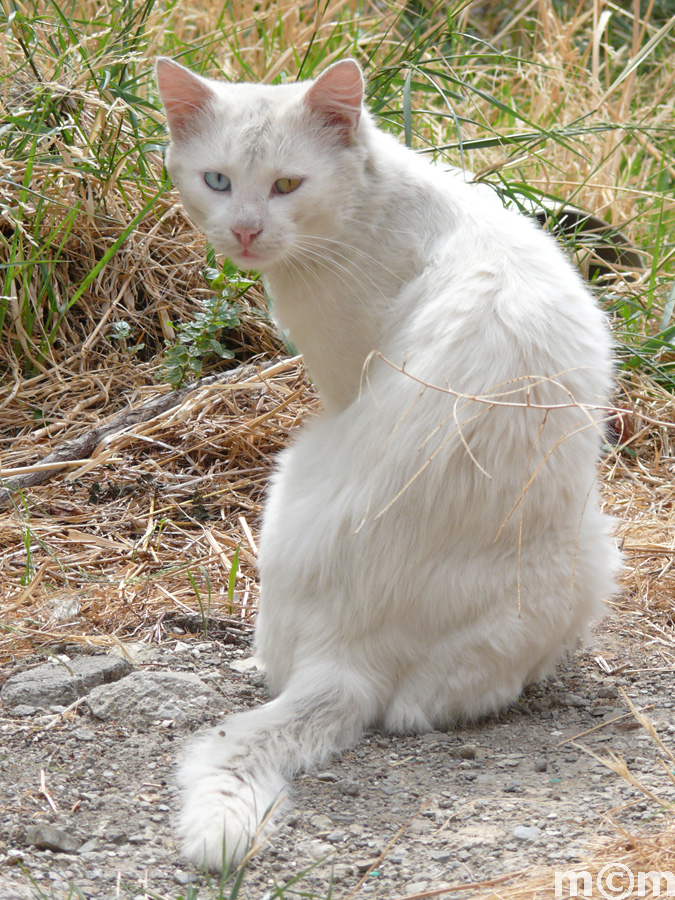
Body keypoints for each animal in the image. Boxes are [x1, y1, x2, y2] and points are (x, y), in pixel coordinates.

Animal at [156, 58, 620, 872]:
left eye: (287, 184)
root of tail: (349, 656)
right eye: (216, 180)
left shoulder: (341, 377)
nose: (245, 229)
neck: (374, 203)